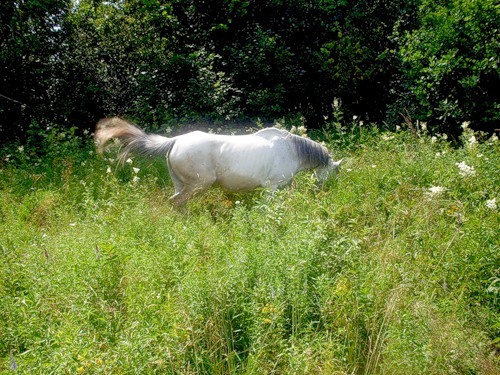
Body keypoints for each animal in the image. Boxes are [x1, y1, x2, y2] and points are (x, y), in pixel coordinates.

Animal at [94, 117, 340, 206]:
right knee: (177, 202)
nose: (324, 191)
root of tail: (176, 140)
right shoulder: (272, 187)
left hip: (180, 183)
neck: (291, 150)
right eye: (334, 173)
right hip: (198, 185)